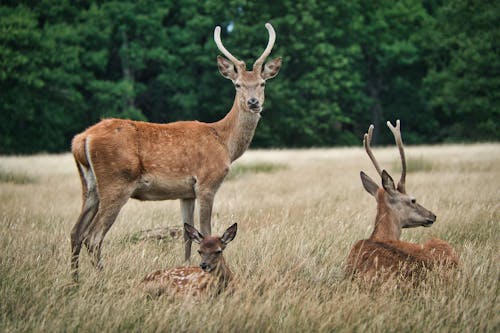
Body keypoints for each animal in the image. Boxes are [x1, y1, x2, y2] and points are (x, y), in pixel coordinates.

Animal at [70, 22, 282, 280]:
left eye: (262, 83)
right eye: (237, 84)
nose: (253, 102)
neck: (224, 142)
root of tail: (82, 139)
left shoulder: (186, 192)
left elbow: (187, 235)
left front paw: (187, 265)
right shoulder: (207, 183)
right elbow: (206, 230)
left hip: (89, 185)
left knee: (75, 233)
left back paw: (75, 281)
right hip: (116, 183)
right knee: (93, 237)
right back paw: (102, 279)